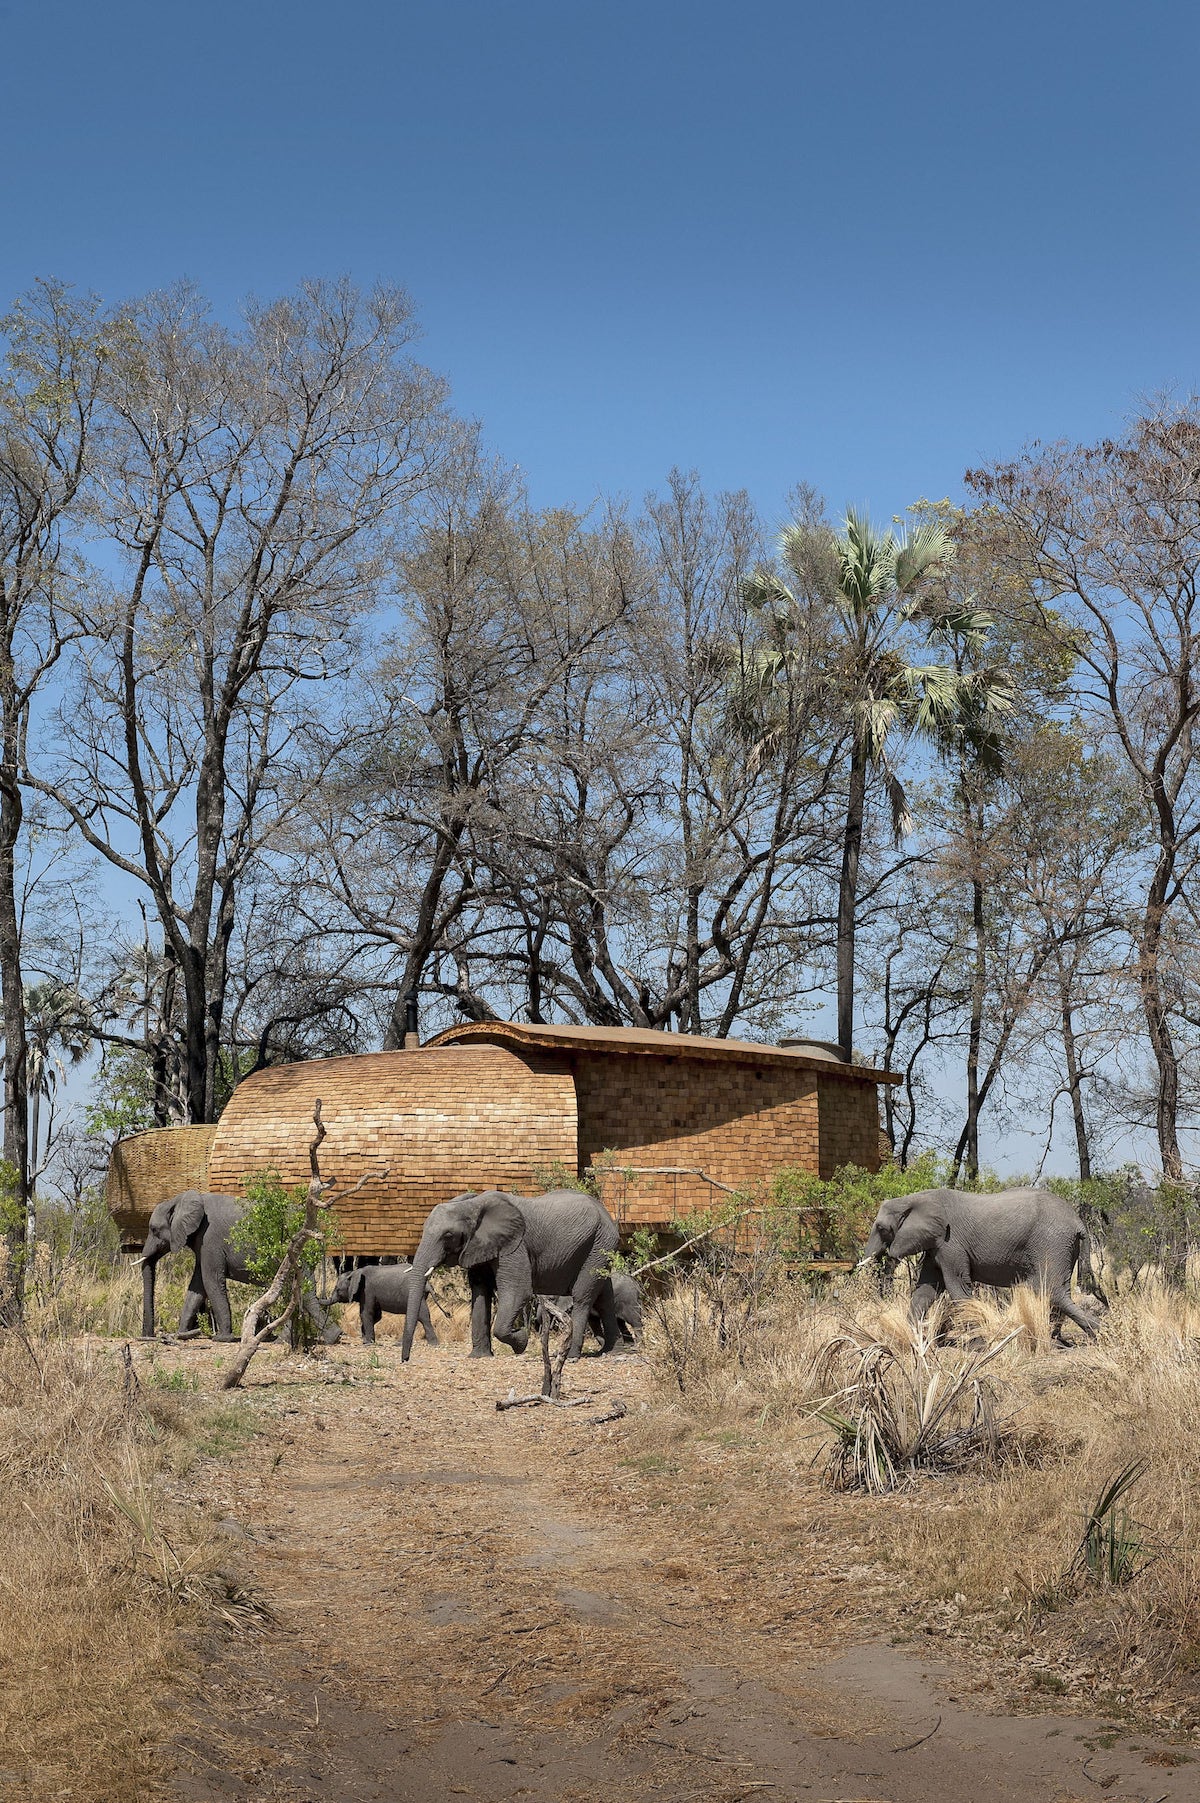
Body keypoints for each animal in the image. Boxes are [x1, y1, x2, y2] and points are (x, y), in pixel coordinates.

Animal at [407, 1189, 619, 1355]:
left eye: (448, 1235)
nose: (405, 1359)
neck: (472, 1205)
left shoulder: (515, 1245)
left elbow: (519, 1291)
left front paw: (522, 1341)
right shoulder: (480, 1247)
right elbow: (480, 1291)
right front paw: (480, 1357)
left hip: (599, 1244)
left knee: (583, 1297)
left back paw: (573, 1355)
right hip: (601, 1248)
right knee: (605, 1297)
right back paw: (614, 1350)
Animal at [854, 1182, 1095, 1341]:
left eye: (881, 1228)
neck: (914, 1198)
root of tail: (1078, 1222)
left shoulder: (951, 1243)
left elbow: (957, 1288)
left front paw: (978, 1342)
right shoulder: (936, 1244)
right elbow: (925, 1290)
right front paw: (913, 1338)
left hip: (1052, 1242)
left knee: (1053, 1290)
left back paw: (1095, 1333)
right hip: (1063, 1246)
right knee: (1052, 1291)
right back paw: (1058, 1338)